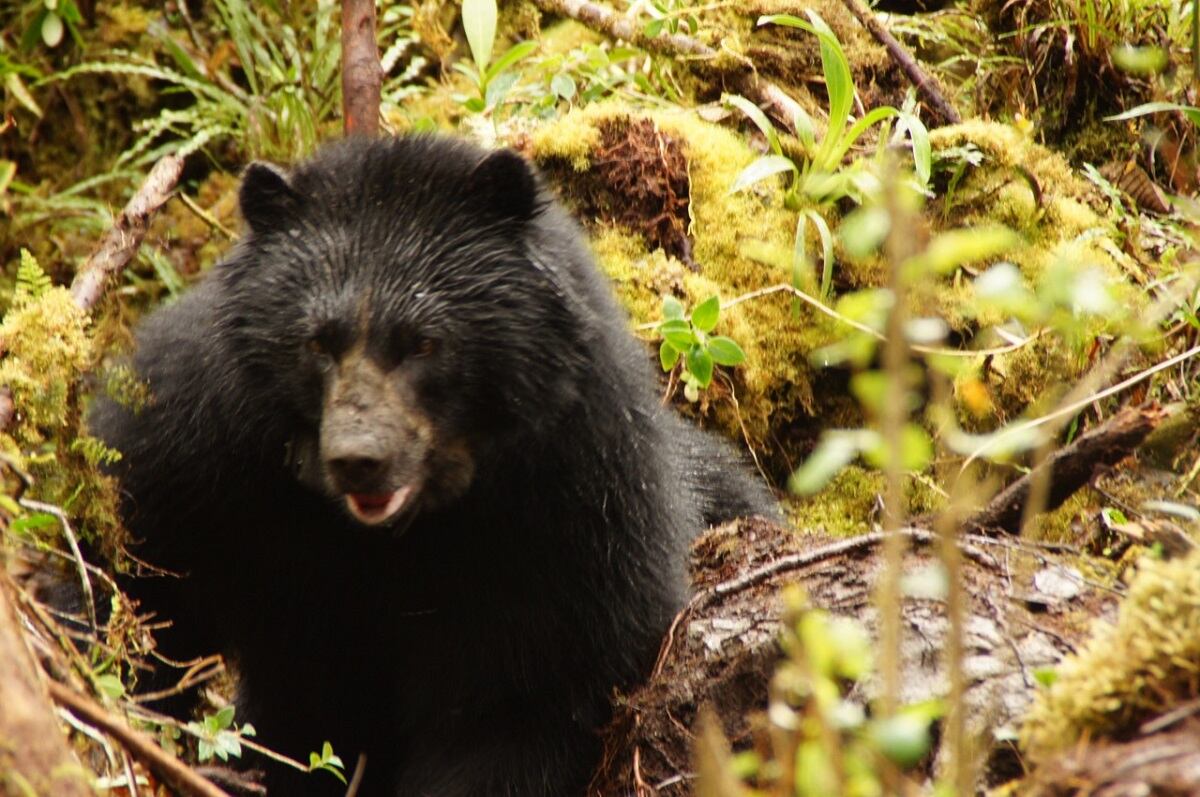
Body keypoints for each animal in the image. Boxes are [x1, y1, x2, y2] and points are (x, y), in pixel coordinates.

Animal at [91, 135, 777, 796]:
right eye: (317, 341)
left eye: (423, 342)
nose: (359, 460)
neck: (398, 532)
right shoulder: (200, 439)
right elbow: (134, 572)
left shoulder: (577, 508)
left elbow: (521, 701)